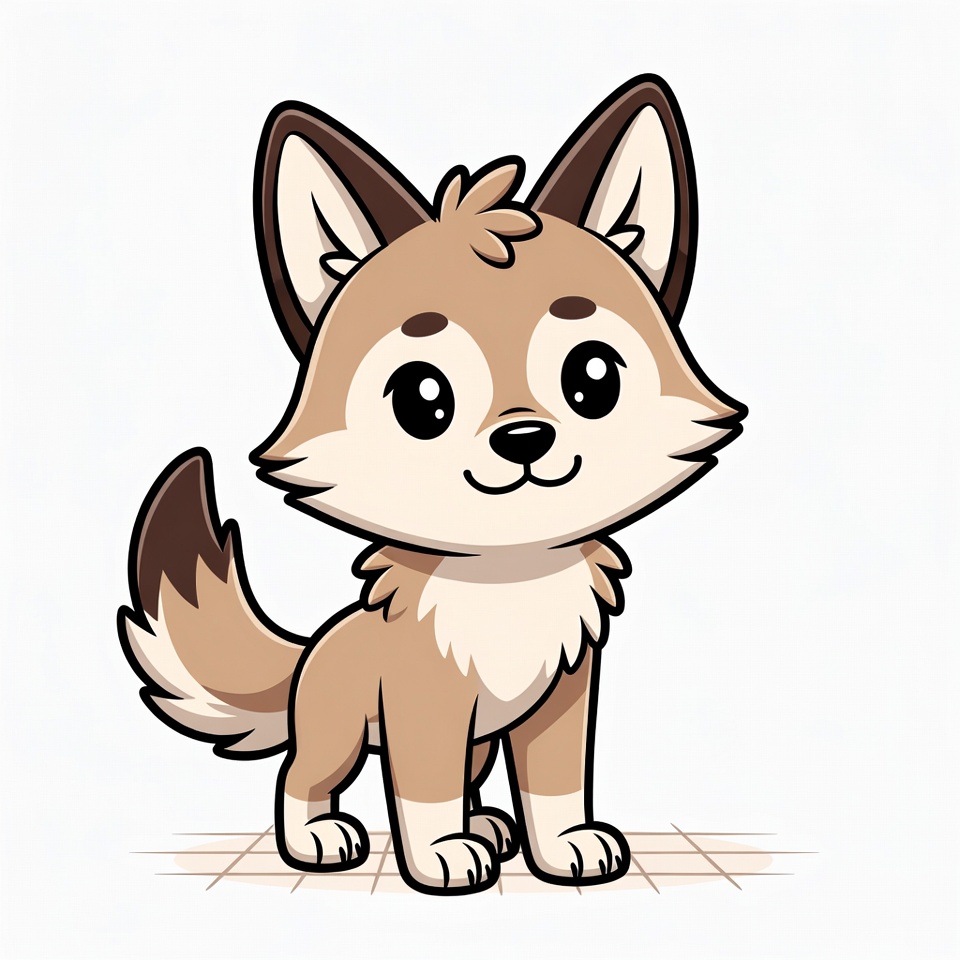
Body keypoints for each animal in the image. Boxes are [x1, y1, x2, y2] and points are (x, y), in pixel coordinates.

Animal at [119, 75, 745, 895]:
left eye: (593, 378)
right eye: (422, 399)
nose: (524, 439)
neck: (509, 586)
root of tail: (314, 648)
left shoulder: (563, 696)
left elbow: (556, 787)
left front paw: (562, 848)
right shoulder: (426, 706)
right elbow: (421, 794)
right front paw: (442, 857)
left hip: (478, 738)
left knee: (472, 782)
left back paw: (491, 827)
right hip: (339, 731)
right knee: (303, 775)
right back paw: (321, 838)